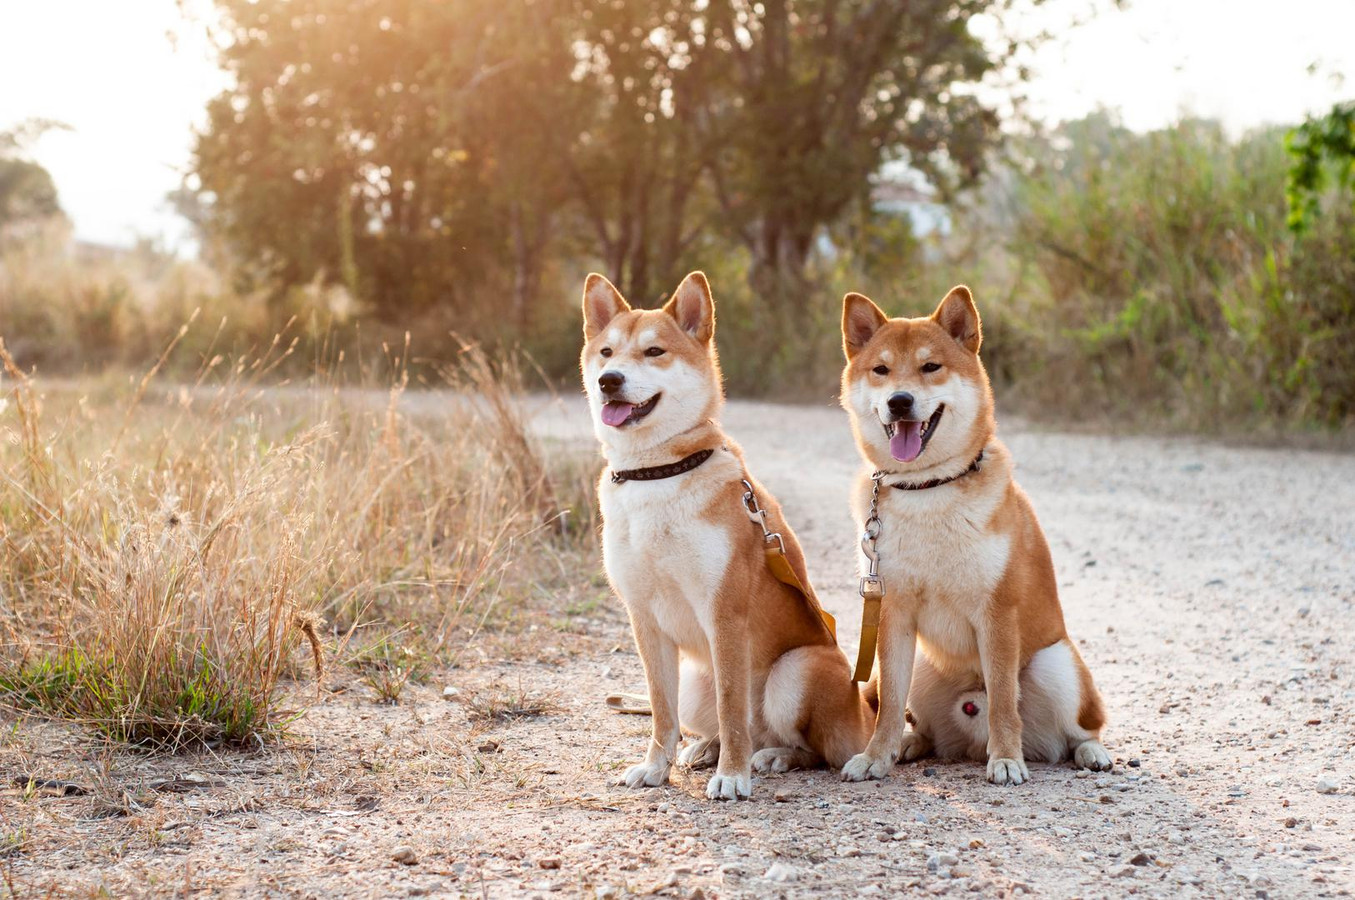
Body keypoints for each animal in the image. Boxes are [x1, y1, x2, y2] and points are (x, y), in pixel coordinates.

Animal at [585, 271, 878, 796]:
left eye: (654, 352)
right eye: (606, 352)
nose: (608, 381)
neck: (657, 474)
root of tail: (865, 713)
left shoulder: (724, 615)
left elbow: (731, 704)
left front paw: (732, 776)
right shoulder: (644, 620)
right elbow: (661, 712)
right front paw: (656, 767)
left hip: (794, 671)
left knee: (809, 748)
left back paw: (772, 756)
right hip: (693, 677)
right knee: (722, 722)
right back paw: (705, 747)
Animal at [834, 284, 1111, 786]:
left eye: (930, 367)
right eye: (881, 370)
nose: (899, 401)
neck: (928, 489)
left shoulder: (997, 611)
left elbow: (1002, 700)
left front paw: (1005, 759)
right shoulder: (893, 612)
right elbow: (887, 708)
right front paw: (875, 756)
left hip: (1056, 664)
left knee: (1081, 728)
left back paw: (1088, 752)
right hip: (924, 667)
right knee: (920, 722)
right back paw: (910, 745)